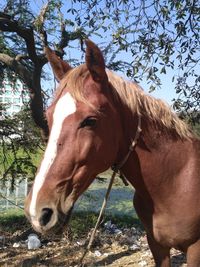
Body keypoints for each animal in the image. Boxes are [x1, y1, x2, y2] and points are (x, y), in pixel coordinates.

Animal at [25, 40, 200, 267]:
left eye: (90, 120)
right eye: (49, 117)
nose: (37, 212)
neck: (175, 181)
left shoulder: (195, 250)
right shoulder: (157, 246)